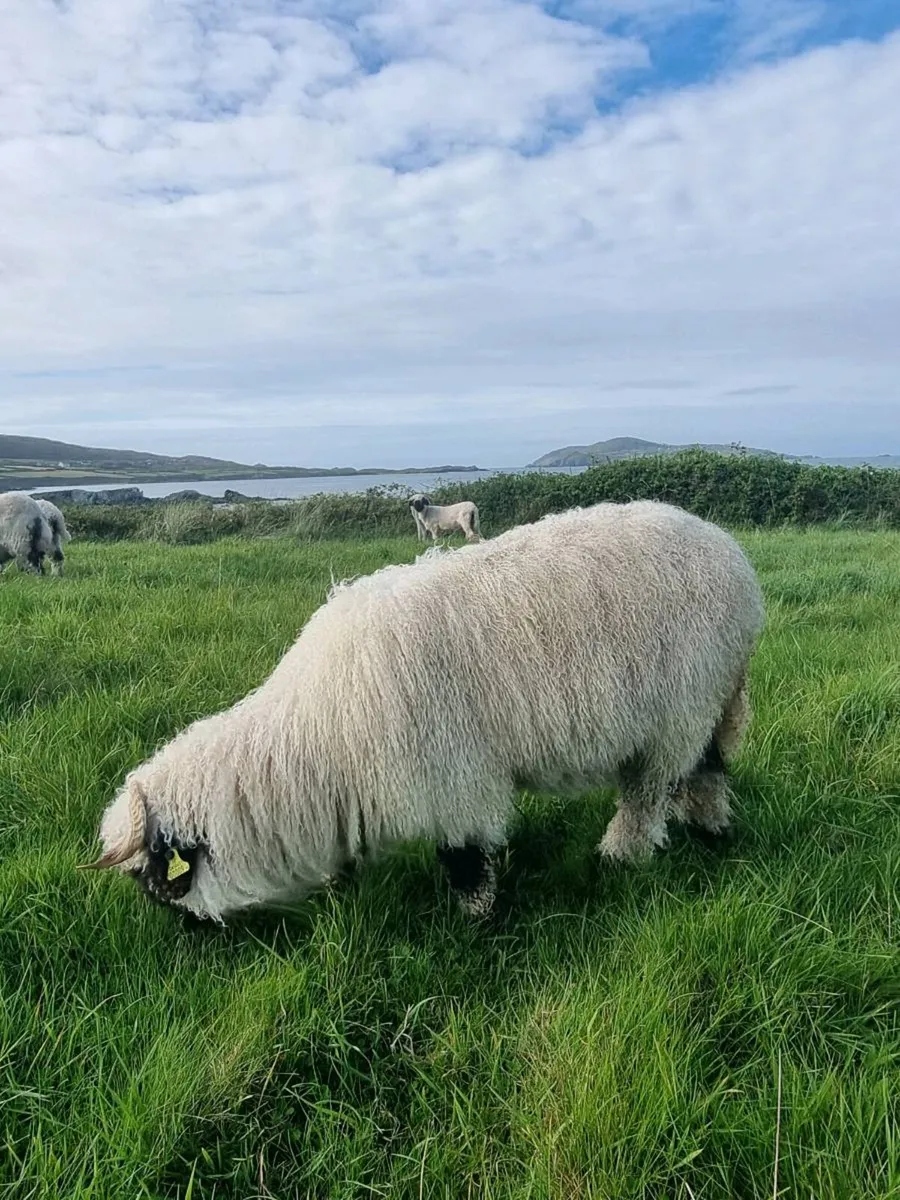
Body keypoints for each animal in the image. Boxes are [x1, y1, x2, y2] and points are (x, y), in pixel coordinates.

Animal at [79, 499, 765, 924]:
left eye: (157, 879)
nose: (187, 937)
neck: (312, 745)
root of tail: (732, 555)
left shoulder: (451, 776)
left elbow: (464, 858)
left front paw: (474, 924)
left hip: (679, 709)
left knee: (648, 793)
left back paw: (621, 856)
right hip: (711, 699)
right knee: (708, 770)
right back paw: (713, 830)